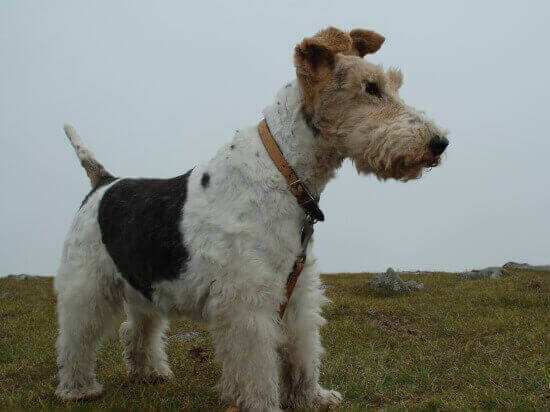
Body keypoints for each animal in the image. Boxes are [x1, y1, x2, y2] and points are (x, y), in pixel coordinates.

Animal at [54, 27, 448, 410]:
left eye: (392, 83)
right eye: (370, 87)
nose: (439, 143)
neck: (284, 171)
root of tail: (104, 182)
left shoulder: (297, 292)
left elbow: (301, 351)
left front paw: (312, 397)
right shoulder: (249, 302)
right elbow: (257, 368)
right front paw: (264, 403)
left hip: (144, 287)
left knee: (135, 331)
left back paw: (149, 373)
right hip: (86, 286)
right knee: (77, 337)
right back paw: (79, 389)